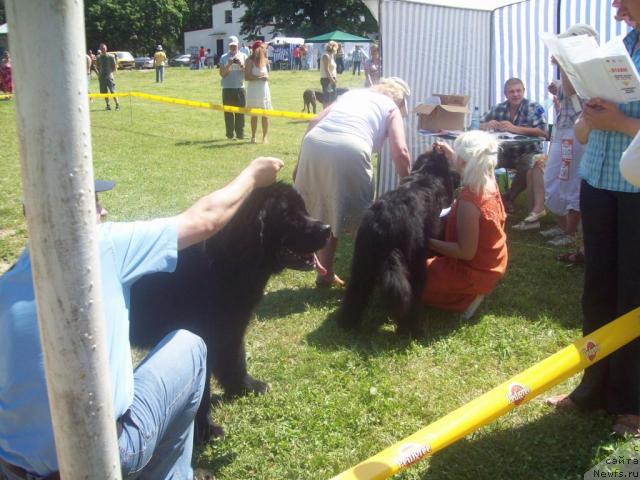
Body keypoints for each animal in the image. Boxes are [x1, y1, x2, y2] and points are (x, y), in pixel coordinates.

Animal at [129, 181, 330, 442]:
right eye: (288, 215)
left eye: (304, 210)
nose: (327, 229)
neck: (231, 262)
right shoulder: (204, 338)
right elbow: (202, 393)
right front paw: (206, 430)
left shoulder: (231, 330)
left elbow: (235, 362)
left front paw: (247, 388)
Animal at [338, 149, 458, 334]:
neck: (427, 172)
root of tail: (386, 220)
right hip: (415, 262)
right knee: (414, 293)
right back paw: (412, 330)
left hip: (361, 262)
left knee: (356, 290)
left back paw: (347, 322)